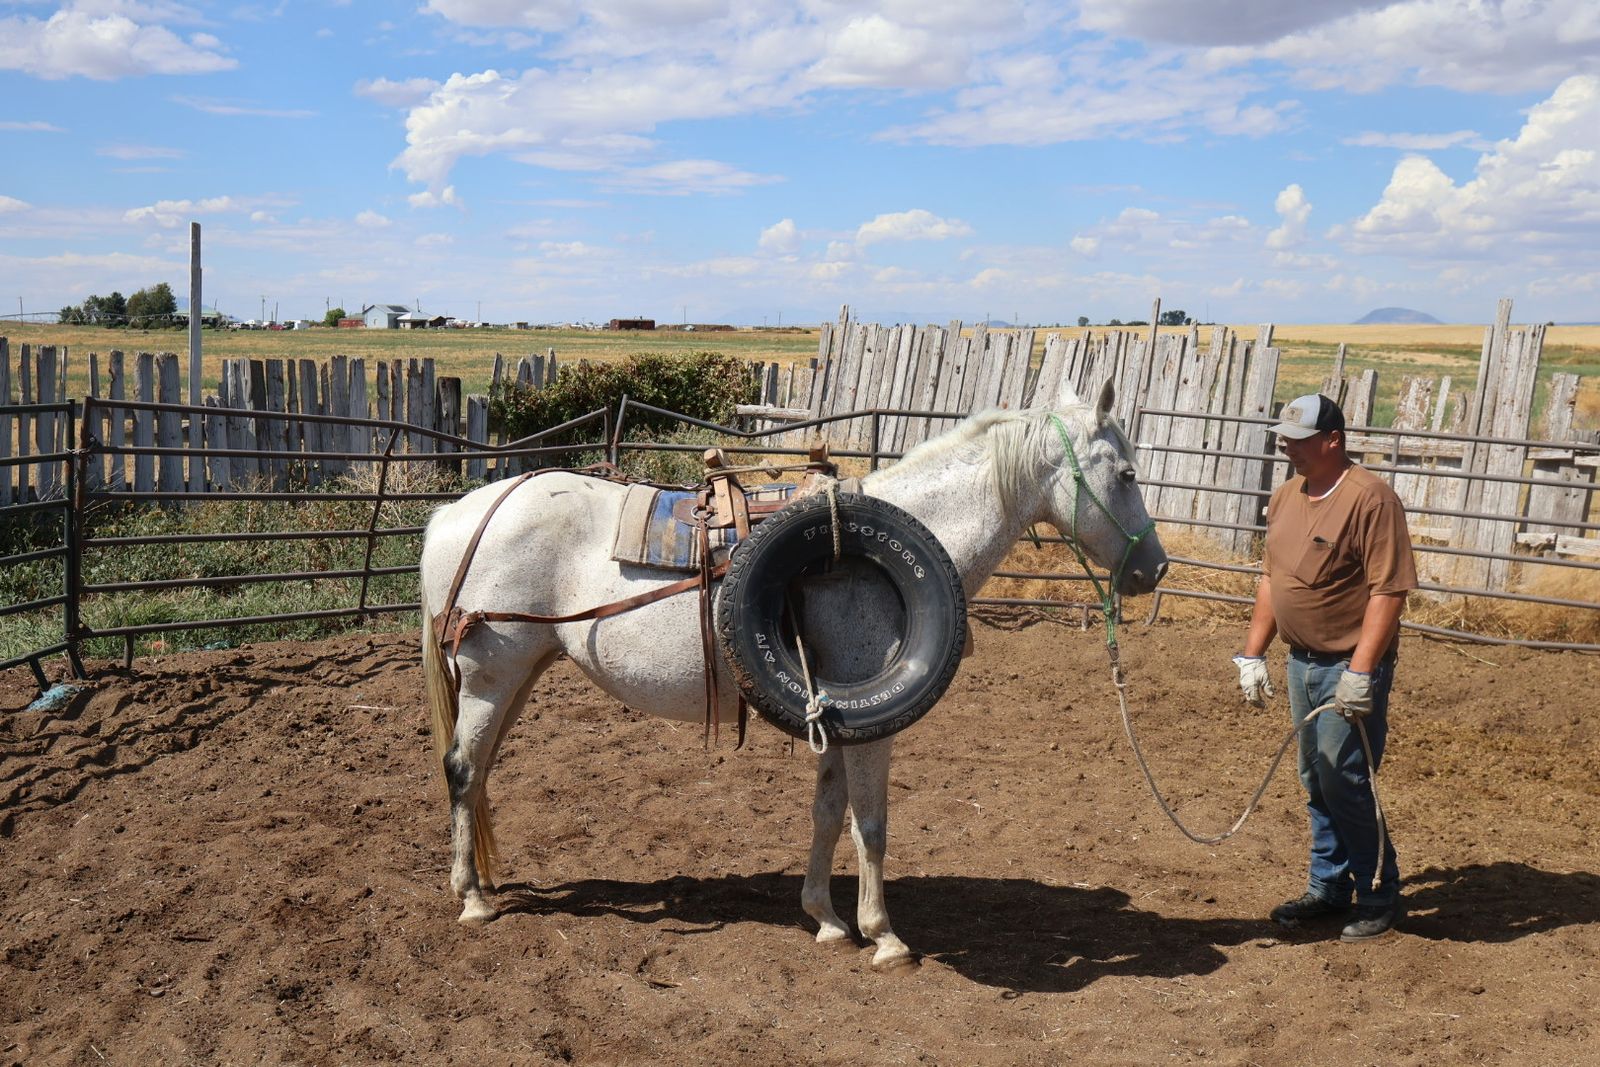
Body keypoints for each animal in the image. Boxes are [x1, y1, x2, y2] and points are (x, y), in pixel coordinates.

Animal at [419, 379, 1169, 971]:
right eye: (1126, 475)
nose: (1154, 568)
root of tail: (460, 511)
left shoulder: (837, 715)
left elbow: (828, 813)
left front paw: (827, 919)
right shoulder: (874, 727)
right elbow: (871, 824)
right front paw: (883, 935)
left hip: (521, 674)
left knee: (478, 773)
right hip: (493, 675)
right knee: (462, 768)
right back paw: (473, 899)